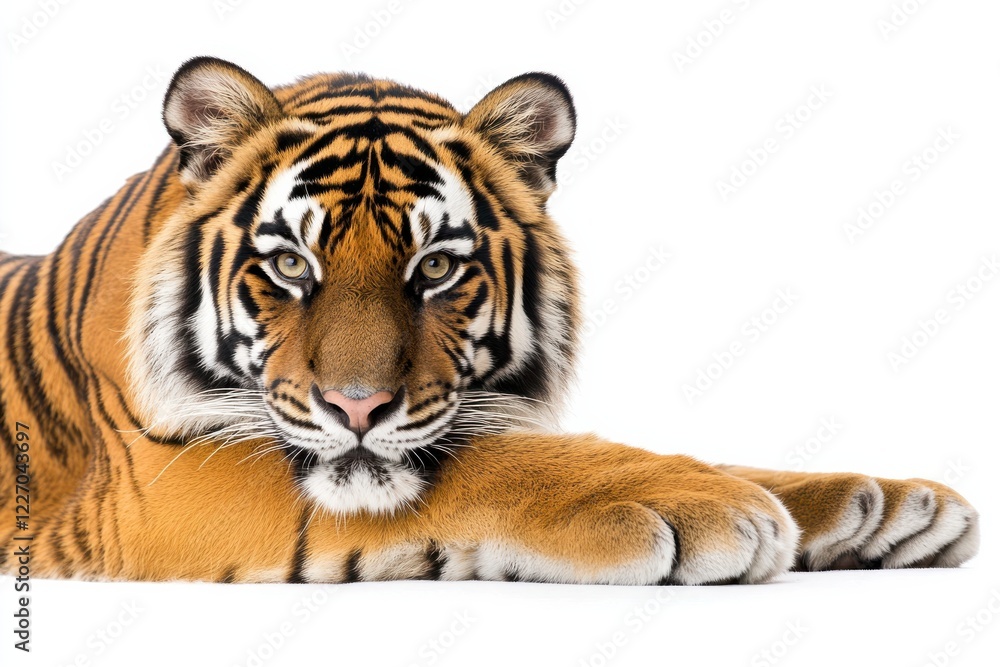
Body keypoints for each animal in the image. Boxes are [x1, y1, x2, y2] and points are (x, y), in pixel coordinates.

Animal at [0, 57, 979, 584]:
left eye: (436, 268)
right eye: (291, 266)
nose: (358, 408)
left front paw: (884, 504)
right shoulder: (167, 484)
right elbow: (492, 464)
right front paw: (705, 507)